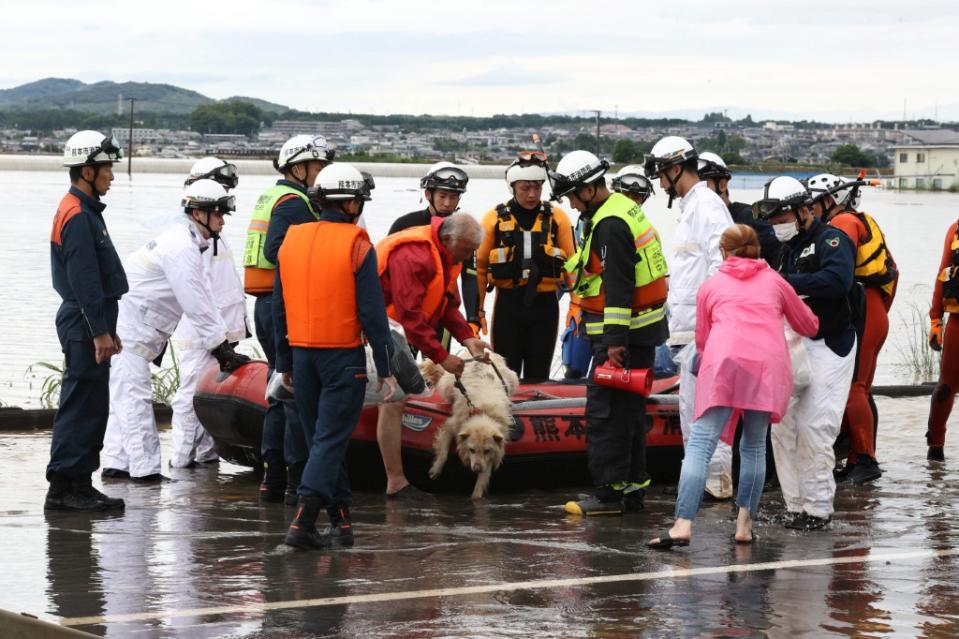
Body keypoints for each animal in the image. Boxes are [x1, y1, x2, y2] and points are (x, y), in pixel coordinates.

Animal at [424, 356, 520, 500]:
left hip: (512, 379)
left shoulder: (491, 455)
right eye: (471, 450)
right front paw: (436, 469)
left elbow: (481, 481)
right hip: (448, 385)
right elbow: (443, 453)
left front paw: (476, 496)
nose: (477, 469)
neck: (483, 414)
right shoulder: (452, 425)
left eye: (487, 451)